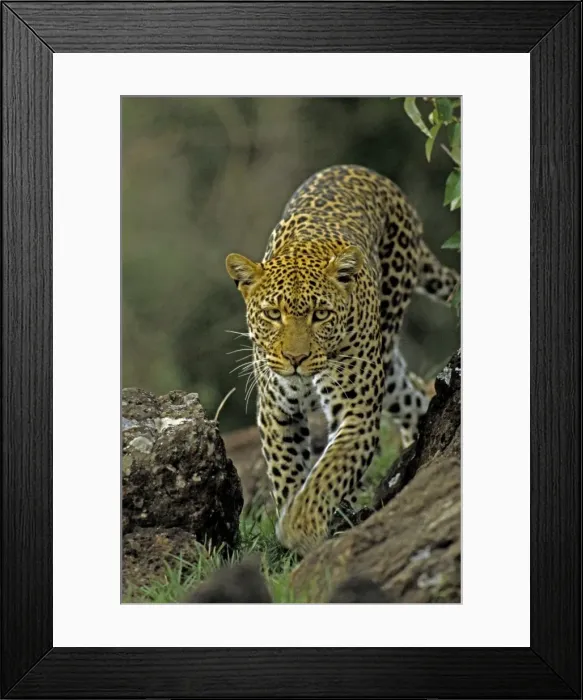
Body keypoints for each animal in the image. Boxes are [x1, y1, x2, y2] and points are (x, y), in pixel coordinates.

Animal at [226, 164, 459, 554]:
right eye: (273, 314)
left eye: (320, 315)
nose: (295, 358)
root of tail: (369, 173)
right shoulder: (276, 408)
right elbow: (288, 470)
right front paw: (293, 522)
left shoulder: (356, 409)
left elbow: (330, 470)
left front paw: (301, 527)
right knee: (412, 397)